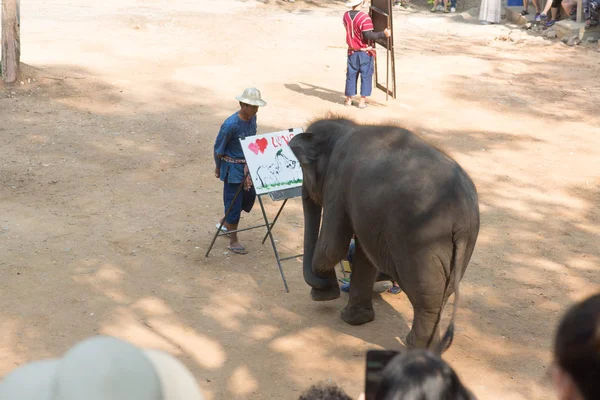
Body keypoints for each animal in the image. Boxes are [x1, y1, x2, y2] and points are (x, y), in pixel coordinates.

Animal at [288, 115, 480, 350]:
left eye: (303, 167)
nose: (325, 288)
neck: (346, 128)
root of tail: (462, 211)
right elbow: (363, 254)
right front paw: (354, 319)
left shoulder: (338, 182)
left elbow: (332, 247)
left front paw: (323, 294)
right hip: (465, 241)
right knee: (444, 291)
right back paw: (431, 348)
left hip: (421, 238)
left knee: (426, 297)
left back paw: (414, 346)